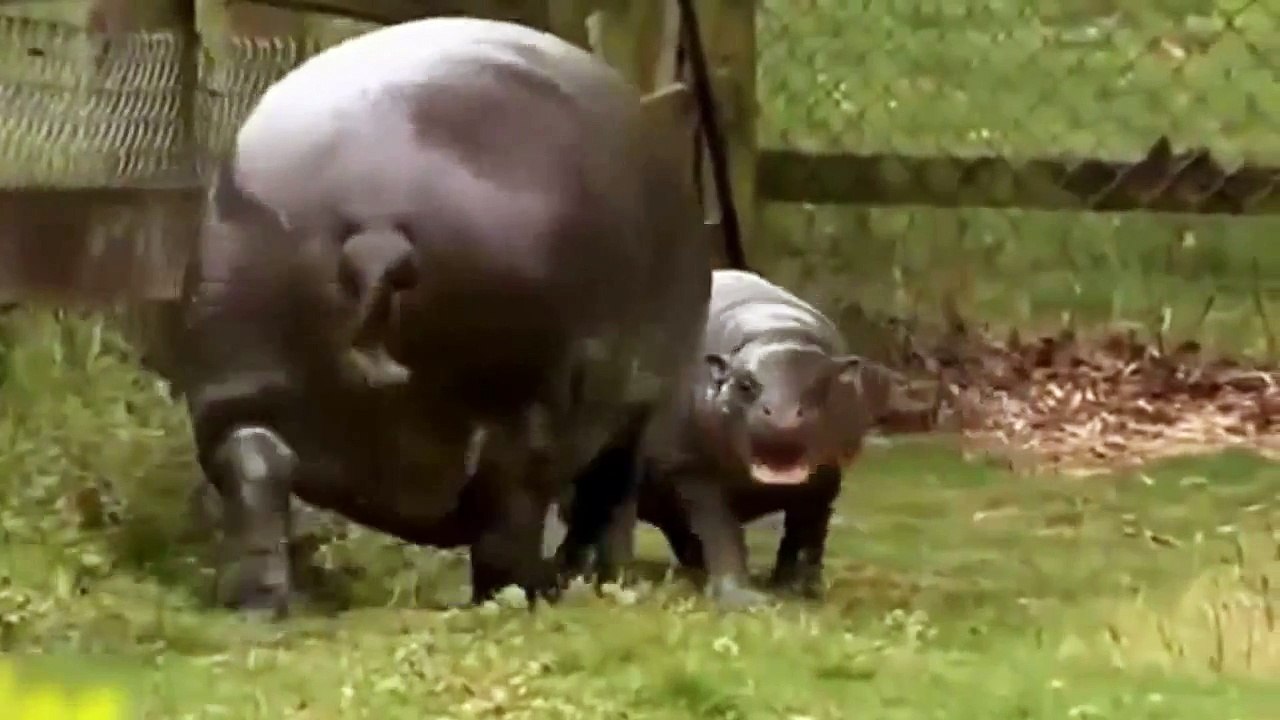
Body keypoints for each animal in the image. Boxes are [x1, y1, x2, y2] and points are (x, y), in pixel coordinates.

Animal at [175, 17, 711, 617]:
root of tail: (377, 231)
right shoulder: (637, 405)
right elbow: (607, 498)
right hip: (525, 406)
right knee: (518, 518)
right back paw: (533, 594)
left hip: (233, 377)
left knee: (256, 466)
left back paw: (255, 603)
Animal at [624, 269, 916, 608]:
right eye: (745, 383)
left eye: (821, 384)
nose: (782, 413)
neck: (776, 331)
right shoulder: (690, 471)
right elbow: (720, 532)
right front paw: (744, 600)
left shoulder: (827, 477)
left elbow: (807, 532)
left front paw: (801, 590)